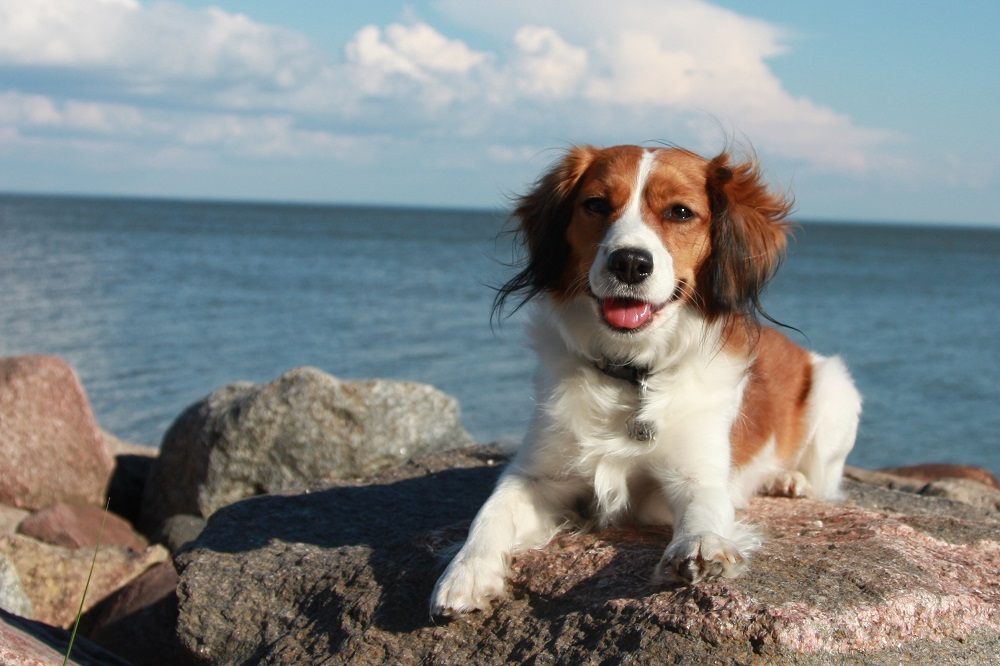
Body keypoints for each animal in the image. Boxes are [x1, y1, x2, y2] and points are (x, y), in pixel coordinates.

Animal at [430, 145, 860, 616]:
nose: (630, 262)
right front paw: (466, 571)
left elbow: (704, 510)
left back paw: (789, 480)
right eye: (596, 205)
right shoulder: (537, 473)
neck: (632, 373)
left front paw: (702, 545)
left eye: (680, 212)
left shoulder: (695, 475)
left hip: (834, 394)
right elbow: (492, 510)